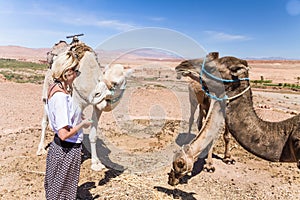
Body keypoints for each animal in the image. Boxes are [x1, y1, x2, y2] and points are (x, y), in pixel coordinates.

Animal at [36, 39, 132, 171]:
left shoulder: (97, 107)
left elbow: (93, 135)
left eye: (115, 83)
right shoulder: (77, 102)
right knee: (45, 121)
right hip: (47, 92)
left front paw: (96, 163)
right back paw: (40, 149)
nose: (96, 94)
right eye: (101, 79)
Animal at [169, 52, 300, 186]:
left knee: (200, 121)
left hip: (202, 104)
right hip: (193, 99)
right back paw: (187, 138)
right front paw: (209, 165)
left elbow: (226, 136)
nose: (182, 65)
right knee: (192, 118)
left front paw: (228, 158)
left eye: (211, 67)